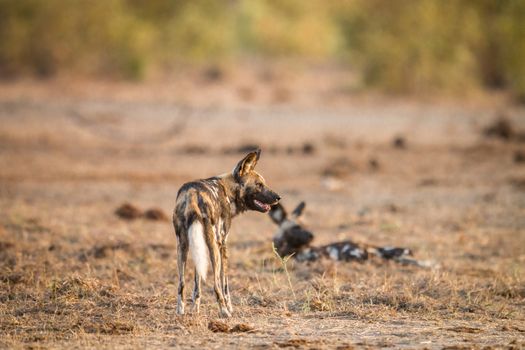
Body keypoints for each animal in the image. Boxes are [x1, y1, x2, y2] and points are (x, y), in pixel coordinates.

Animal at [173, 148, 280, 318]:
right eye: (259, 185)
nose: (278, 198)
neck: (228, 190)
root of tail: (192, 192)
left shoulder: (198, 246)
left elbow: (197, 283)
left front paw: (195, 309)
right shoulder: (222, 244)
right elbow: (225, 284)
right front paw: (229, 308)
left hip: (182, 246)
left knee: (181, 284)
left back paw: (180, 312)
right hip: (213, 247)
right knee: (217, 285)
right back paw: (224, 311)